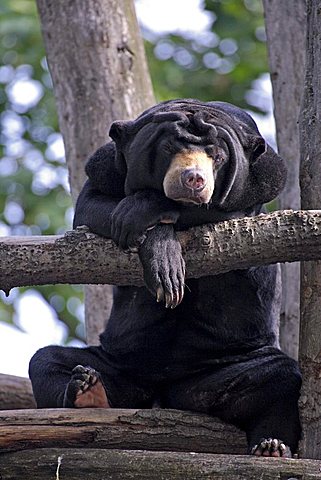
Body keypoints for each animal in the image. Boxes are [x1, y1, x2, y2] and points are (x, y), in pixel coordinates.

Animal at [29, 99, 300, 456]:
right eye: (169, 147)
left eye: (217, 156)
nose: (194, 179)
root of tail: (162, 394)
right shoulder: (106, 165)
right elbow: (89, 205)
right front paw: (154, 241)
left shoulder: (265, 176)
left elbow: (226, 211)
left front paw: (149, 216)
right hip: (123, 365)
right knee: (48, 361)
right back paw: (87, 391)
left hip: (213, 371)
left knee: (281, 376)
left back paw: (272, 446)